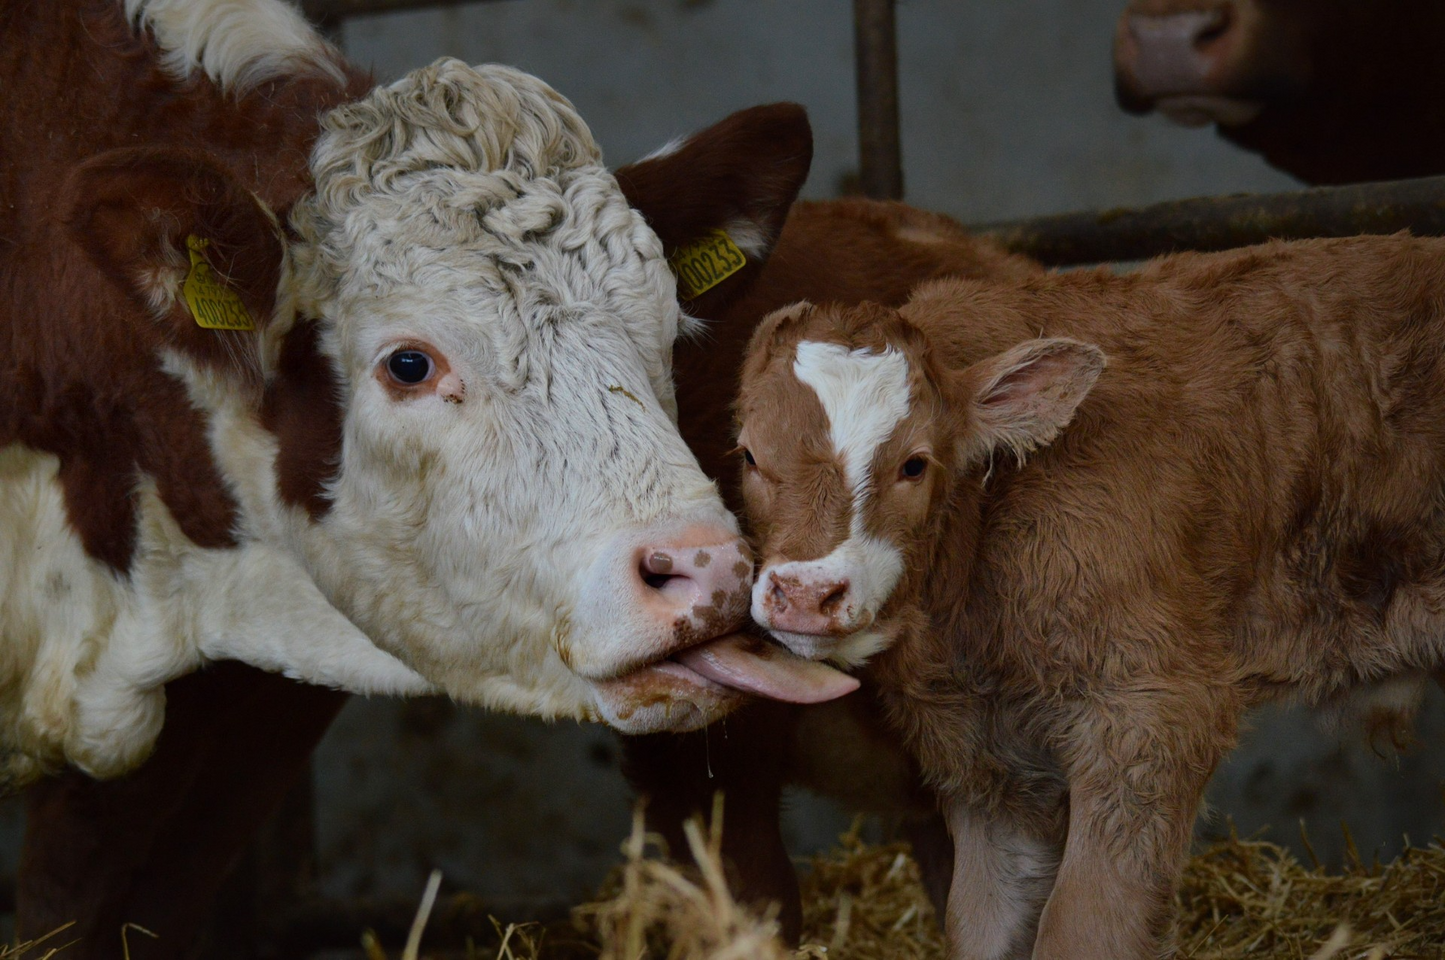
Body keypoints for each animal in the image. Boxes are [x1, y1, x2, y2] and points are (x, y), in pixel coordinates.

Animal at [734, 233, 1445, 959]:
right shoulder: (985, 757)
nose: (805, 593)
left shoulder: (1150, 715)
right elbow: (980, 923)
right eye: (748, 456)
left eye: (914, 464)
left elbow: (1084, 927)